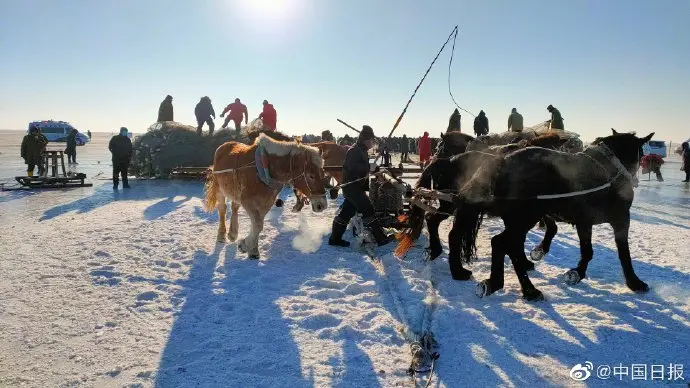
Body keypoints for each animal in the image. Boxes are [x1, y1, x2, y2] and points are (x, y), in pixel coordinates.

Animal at [448, 130, 652, 300]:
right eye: (641, 153)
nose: (635, 179)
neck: (608, 173)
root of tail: (502, 161)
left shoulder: (584, 222)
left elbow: (587, 251)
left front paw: (576, 274)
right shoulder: (621, 220)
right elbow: (624, 254)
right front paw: (635, 282)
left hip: (518, 220)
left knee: (507, 246)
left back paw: (502, 283)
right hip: (525, 217)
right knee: (501, 243)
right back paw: (525, 289)